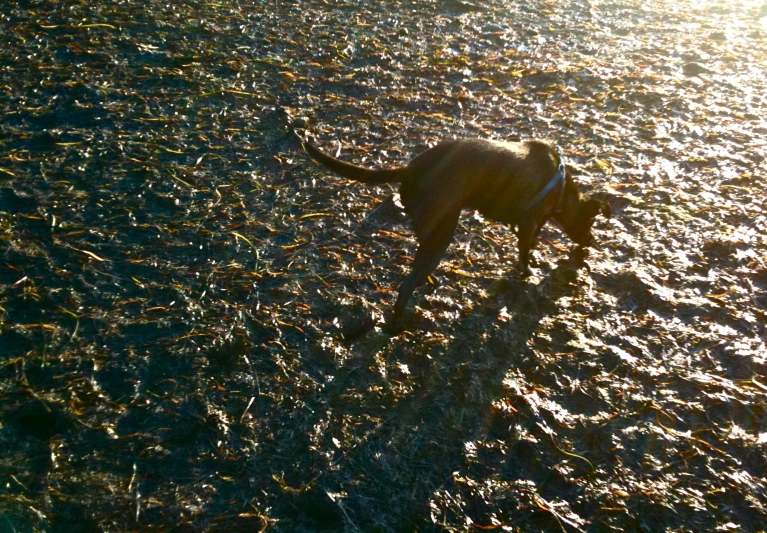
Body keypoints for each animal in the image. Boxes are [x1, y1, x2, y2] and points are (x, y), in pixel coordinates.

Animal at [304, 137, 608, 324]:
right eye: (591, 223)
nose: (592, 241)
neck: (562, 189)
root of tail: (410, 169)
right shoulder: (529, 221)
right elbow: (524, 252)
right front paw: (527, 272)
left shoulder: (532, 223)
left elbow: (530, 245)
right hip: (443, 231)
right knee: (406, 286)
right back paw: (398, 325)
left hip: (433, 232)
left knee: (418, 269)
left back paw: (431, 283)